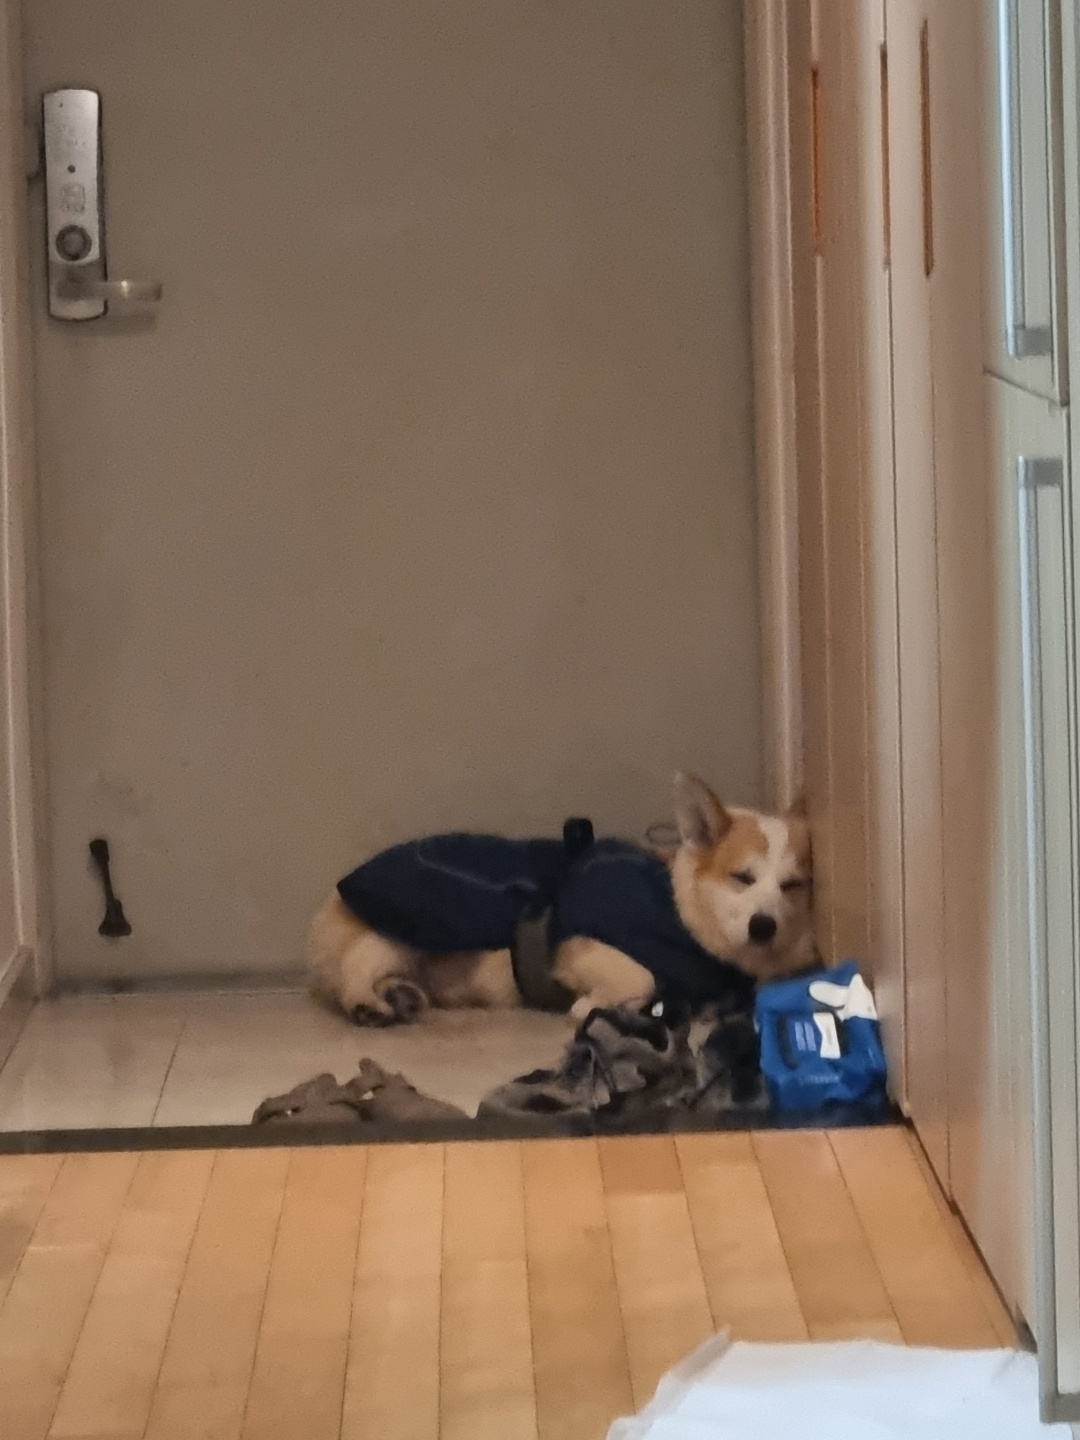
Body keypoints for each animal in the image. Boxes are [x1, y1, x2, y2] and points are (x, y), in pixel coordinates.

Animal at [306, 773, 814, 1026]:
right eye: (742, 877)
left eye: (794, 885)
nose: (764, 926)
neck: (680, 916)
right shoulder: (576, 946)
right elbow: (642, 977)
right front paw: (592, 1007)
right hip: (401, 930)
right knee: (353, 974)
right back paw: (366, 1002)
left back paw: (401, 994)